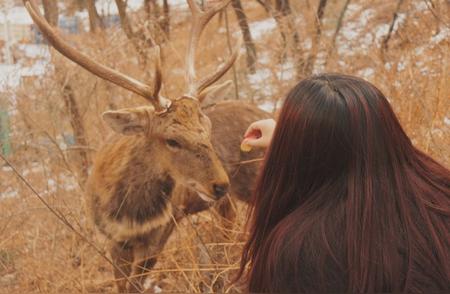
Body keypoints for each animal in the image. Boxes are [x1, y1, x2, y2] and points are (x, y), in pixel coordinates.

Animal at [25, 0, 270, 292]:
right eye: (172, 140)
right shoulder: (112, 239)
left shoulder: (161, 233)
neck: (131, 215)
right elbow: (123, 285)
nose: (220, 184)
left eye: (208, 129)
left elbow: (136, 284)